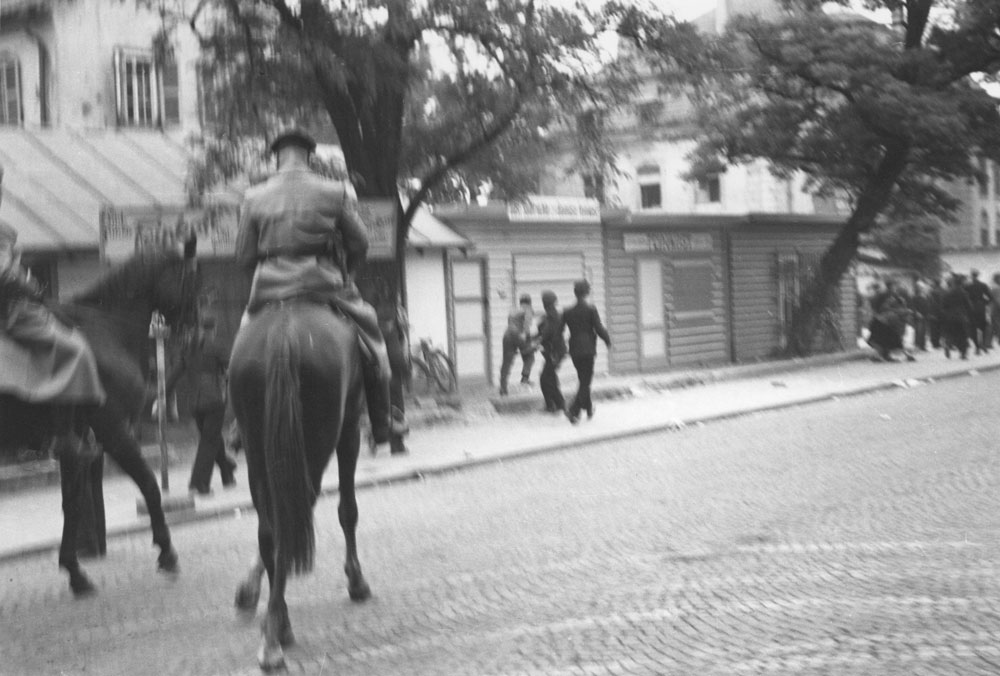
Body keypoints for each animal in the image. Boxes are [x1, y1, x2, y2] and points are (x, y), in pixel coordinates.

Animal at [0, 247, 199, 592]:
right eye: (191, 276)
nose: (200, 326)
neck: (107, 331)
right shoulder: (114, 430)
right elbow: (149, 484)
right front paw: (166, 551)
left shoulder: (83, 443)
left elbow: (73, 503)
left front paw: (74, 570)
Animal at [229, 302, 374, 672]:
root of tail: (285, 331)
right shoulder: (349, 430)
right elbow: (347, 510)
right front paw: (356, 579)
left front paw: (250, 588)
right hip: (320, 440)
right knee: (293, 518)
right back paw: (276, 632)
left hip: (259, 449)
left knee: (273, 528)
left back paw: (274, 627)